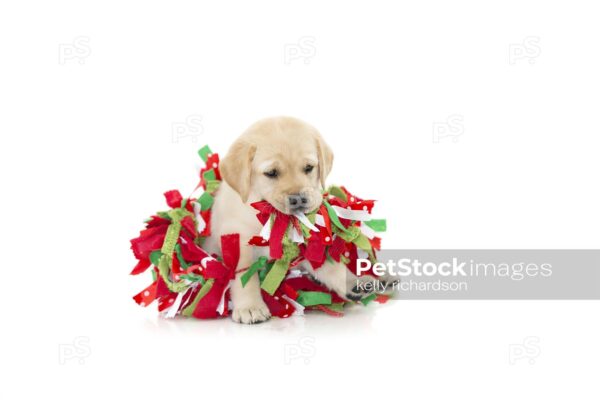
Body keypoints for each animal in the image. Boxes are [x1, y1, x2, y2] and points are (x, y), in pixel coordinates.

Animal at [202, 115, 380, 322]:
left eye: (309, 168)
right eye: (271, 173)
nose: (299, 199)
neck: (269, 216)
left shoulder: (306, 243)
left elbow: (328, 265)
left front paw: (352, 281)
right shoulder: (236, 238)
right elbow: (244, 275)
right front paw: (250, 307)